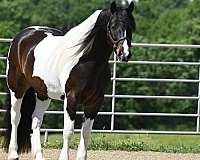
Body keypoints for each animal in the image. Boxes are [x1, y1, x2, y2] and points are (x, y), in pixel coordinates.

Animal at [0, 1, 136, 160]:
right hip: (17, 88)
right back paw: (13, 153)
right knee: (16, 117)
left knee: (36, 120)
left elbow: (86, 133)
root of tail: (22, 36)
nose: (124, 54)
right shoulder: (71, 98)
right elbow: (68, 131)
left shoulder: (95, 100)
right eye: (113, 26)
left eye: (131, 26)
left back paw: (39, 155)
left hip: (43, 93)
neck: (86, 60)